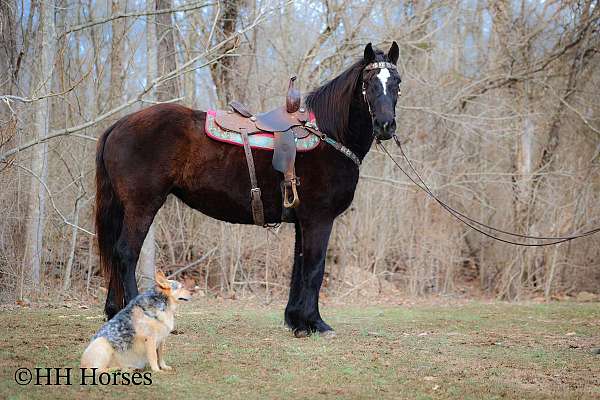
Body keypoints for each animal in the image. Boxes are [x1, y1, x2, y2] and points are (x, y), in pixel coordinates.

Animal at [96, 42, 400, 336]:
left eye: (396, 82)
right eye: (369, 82)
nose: (386, 126)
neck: (329, 135)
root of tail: (119, 124)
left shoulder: (303, 222)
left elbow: (299, 267)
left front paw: (297, 322)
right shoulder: (319, 219)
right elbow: (315, 268)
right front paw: (316, 323)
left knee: (115, 252)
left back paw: (114, 311)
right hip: (141, 206)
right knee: (126, 253)